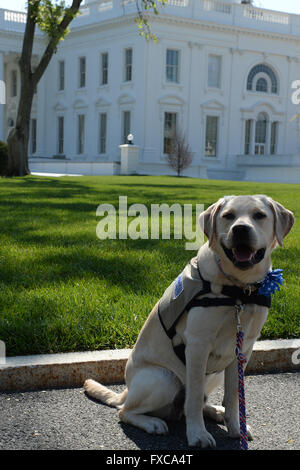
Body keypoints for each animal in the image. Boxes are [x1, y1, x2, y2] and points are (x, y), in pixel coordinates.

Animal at [84, 195, 292, 448]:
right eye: (228, 216)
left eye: (259, 215)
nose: (240, 229)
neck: (239, 290)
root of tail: (128, 389)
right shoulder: (197, 345)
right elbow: (192, 399)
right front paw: (197, 434)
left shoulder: (243, 348)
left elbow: (234, 396)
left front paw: (236, 428)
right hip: (164, 378)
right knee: (126, 411)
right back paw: (152, 423)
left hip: (216, 372)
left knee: (199, 402)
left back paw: (216, 411)